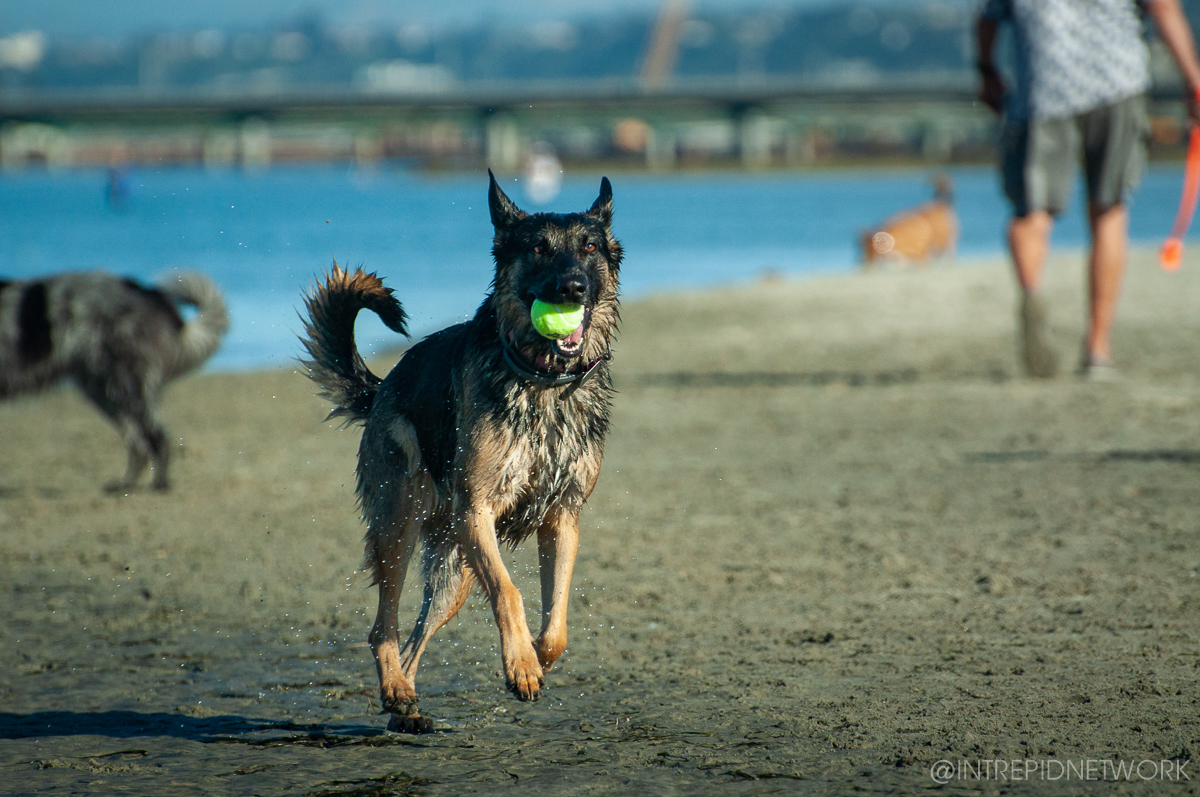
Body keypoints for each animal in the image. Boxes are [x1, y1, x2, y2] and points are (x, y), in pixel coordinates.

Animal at [0, 271, 228, 489]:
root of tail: (147, 292)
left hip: (124, 387)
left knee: (157, 437)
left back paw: (159, 485)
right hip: (104, 391)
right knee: (138, 445)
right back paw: (126, 484)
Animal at [300, 174, 624, 734]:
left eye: (589, 248)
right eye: (538, 249)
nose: (572, 289)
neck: (542, 381)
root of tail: (383, 388)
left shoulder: (562, 517)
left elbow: (556, 621)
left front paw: (534, 656)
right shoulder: (478, 511)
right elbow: (511, 593)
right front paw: (521, 667)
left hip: (456, 573)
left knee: (415, 638)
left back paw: (403, 703)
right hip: (401, 528)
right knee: (383, 627)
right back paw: (396, 689)